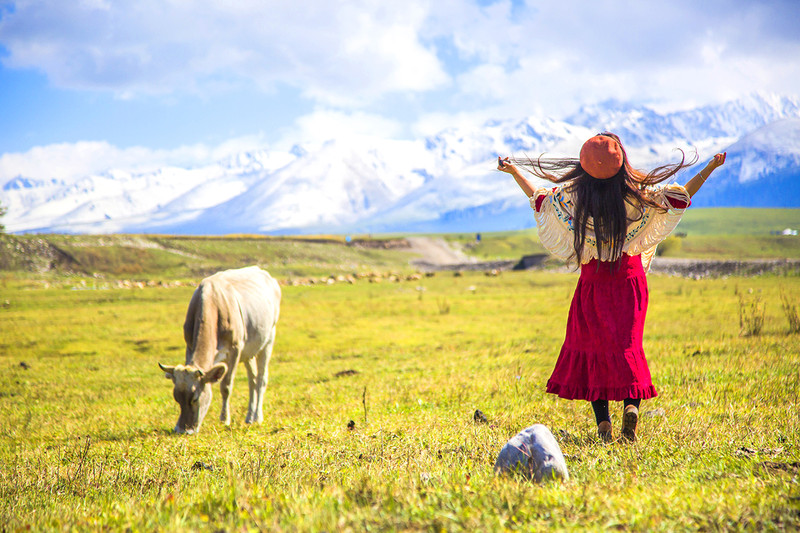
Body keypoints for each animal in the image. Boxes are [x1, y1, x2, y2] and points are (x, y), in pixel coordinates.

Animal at [158, 264, 280, 434]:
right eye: (176, 398)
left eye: (195, 398)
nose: (183, 430)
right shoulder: (189, 345)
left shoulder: (235, 350)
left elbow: (226, 386)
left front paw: (224, 419)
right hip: (249, 351)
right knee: (253, 380)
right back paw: (249, 416)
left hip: (267, 341)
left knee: (261, 379)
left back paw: (257, 416)